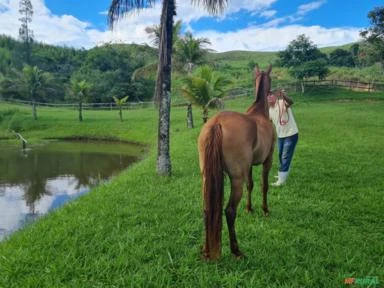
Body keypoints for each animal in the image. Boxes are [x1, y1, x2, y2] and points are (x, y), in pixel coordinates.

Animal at [198, 64, 276, 260]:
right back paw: (236, 250)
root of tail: (217, 122)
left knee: (206, 209)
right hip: (236, 179)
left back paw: (206, 250)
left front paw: (249, 208)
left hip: (206, 177)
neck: (258, 112)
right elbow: (264, 185)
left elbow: (251, 185)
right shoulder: (268, 160)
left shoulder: (249, 167)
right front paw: (265, 209)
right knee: (229, 211)